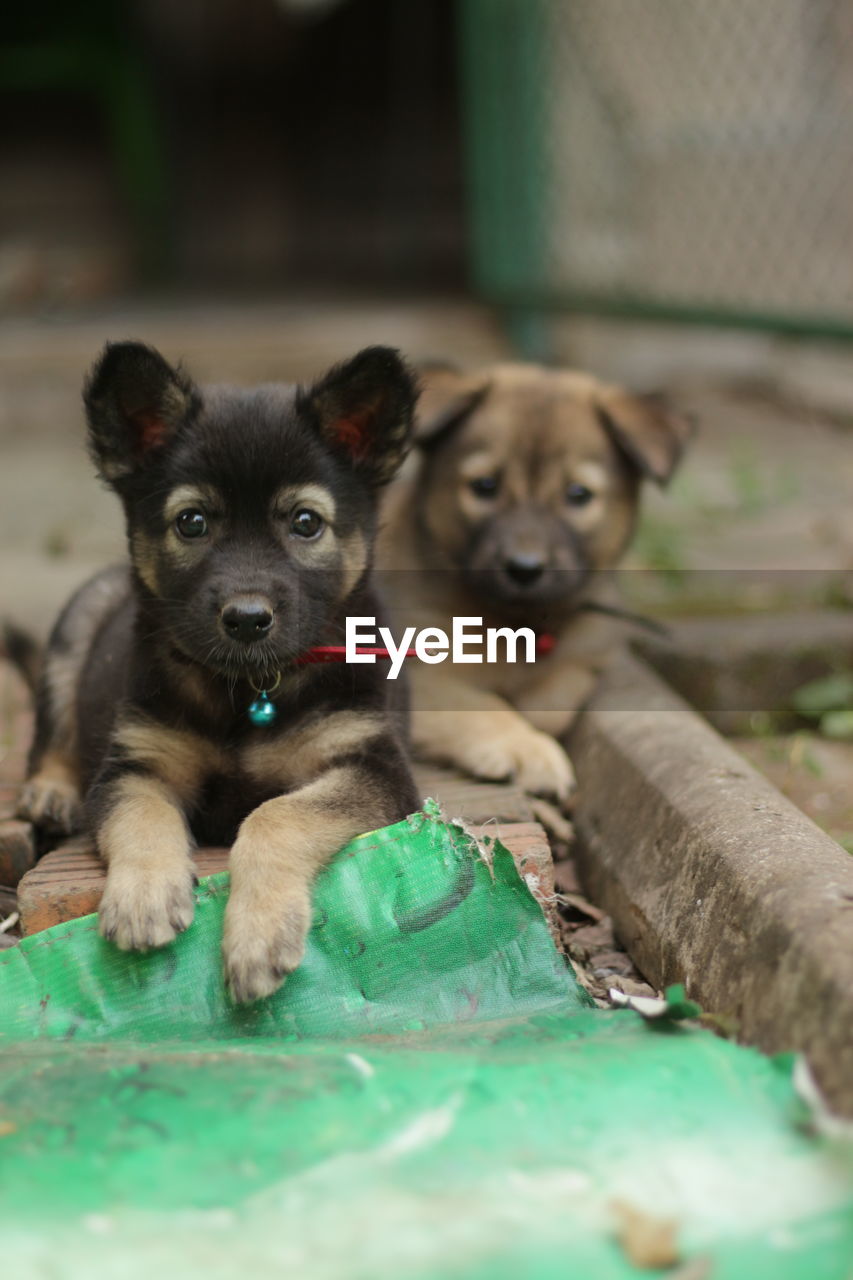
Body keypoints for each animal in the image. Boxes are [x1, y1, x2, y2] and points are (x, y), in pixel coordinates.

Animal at [17, 340, 417, 998]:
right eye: (192, 522)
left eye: (306, 522)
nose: (248, 619)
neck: (249, 688)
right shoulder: (136, 763)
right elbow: (143, 814)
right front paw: (144, 897)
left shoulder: (372, 766)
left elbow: (276, 813)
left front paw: (258, 936)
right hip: (77, 624)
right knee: (54, 731)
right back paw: (48, 791)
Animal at [379, 363, 691, 798]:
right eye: (485, 486)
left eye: (579, 494)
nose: (524, 568)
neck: (517, 623)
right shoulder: (415, 669)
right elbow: (483, 705)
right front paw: (525, 748)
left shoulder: (588, 652)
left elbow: (555, 697)